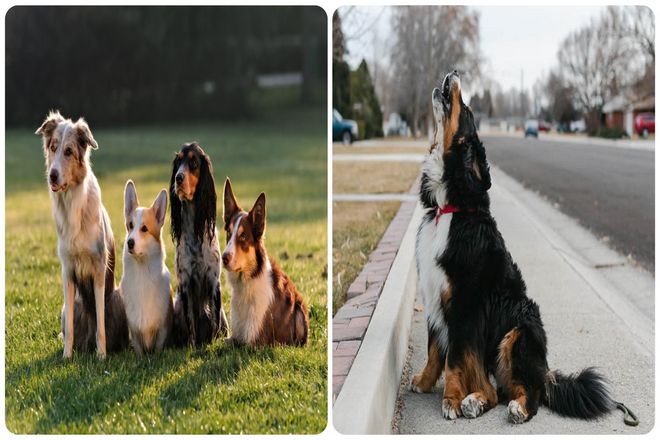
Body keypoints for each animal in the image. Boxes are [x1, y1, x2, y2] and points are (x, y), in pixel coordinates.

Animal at [35, 110, 129, 358]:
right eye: (53, 147)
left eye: (69, 151)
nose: (52, 176)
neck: (71, 203)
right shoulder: (67, 270)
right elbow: (69, 329)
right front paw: (66, 357)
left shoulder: (98, 269)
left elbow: (101, 326)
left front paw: (102, 356)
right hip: (68, 308)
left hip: (117, 296)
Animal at [120, 180, 174, 354]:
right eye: (130, 225)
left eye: (144, 229)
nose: (129, 242)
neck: (142, 271)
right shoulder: (134, 330)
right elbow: (139, 350)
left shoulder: (163, 328)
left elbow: (158, 348)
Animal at [219, 177, 306, 346]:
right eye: (228, 232)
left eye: (243, 236)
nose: (224, 258)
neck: (246, 283)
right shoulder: (234, 337)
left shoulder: (254, 343)